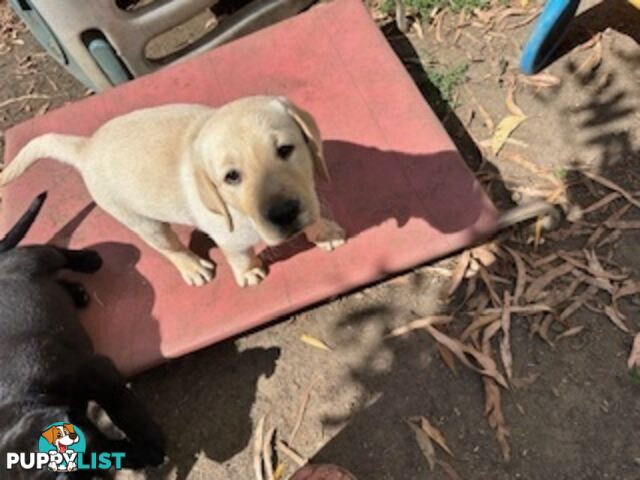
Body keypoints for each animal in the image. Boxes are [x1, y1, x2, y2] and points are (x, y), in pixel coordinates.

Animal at [0, 193, 168, 478]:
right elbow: (106, 444)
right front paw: (139, 453)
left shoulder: (99, 371)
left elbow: (124, 410)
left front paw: (151, 442)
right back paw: (77, 293)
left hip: (36, 258)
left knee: (56, 252)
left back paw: (89, 260)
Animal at [2, 95, 344, 286]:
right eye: (231, 177)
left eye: (286, 149)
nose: (285, 214)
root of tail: (86, 148)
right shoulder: (229, 235)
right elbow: (239, 254)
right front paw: (248, 273)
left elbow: (314, 209)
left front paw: (324, 231)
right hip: (142, 221)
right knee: (168, 247)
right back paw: (193, 267)